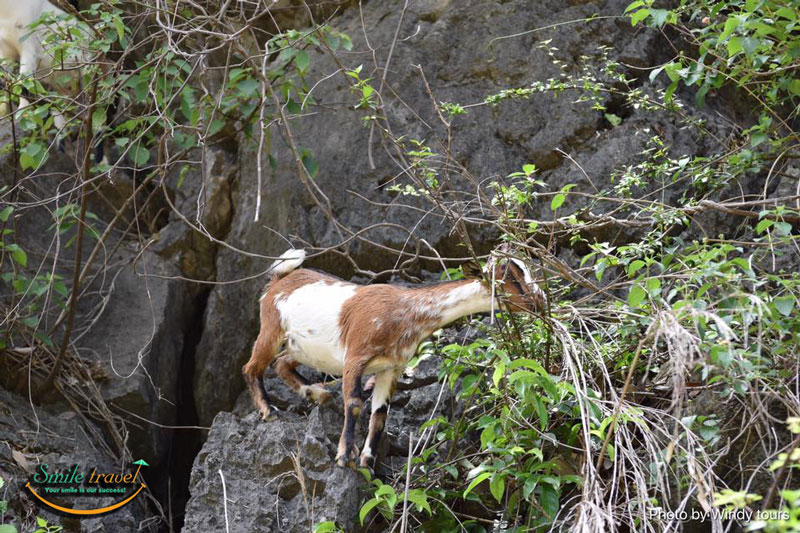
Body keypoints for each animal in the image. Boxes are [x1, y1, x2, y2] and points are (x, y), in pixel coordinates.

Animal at [241, 247, 548, 468]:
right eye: (510, 279)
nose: (540, 301)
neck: (406, 311)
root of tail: (280, 279)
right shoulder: (356, 355)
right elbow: (354, 403)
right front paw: (345, 456)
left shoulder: (391, 367)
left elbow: (379, 414)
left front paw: (367, 460)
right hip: (272, 327)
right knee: (252, 366)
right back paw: (269, 409)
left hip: (303, 348)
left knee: (282, 363)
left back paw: (316, 393)